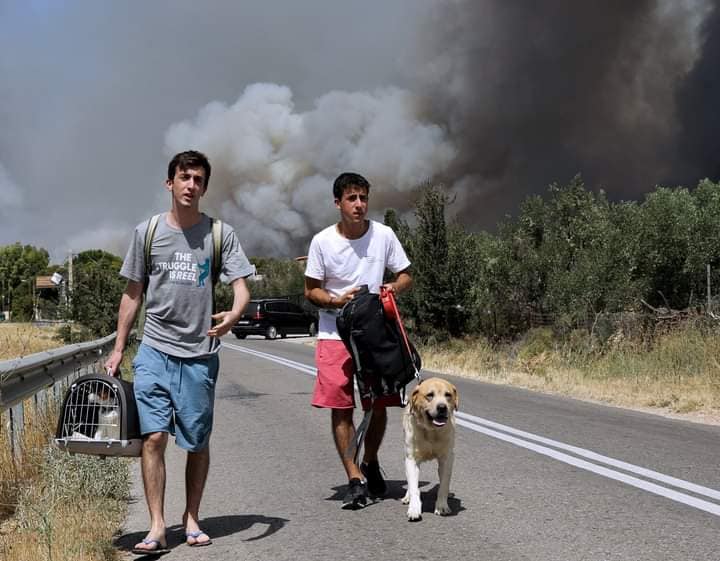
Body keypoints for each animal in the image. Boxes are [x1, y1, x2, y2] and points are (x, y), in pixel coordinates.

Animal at [402, 376, 458, 520]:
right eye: (430, 395)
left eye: (448, 395)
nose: (442, 407)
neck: (431, 431)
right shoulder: (411, 459)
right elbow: (414, 487)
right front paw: (414, 509)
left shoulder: (447, 459)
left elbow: (443, 485)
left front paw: (442, 506)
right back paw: (407, 497)